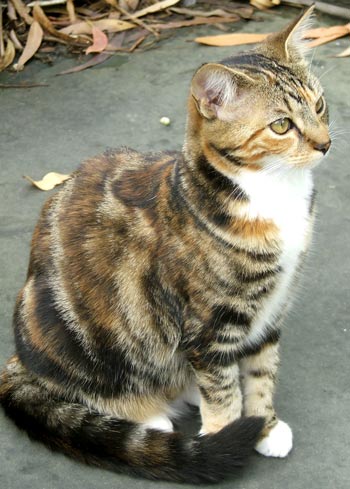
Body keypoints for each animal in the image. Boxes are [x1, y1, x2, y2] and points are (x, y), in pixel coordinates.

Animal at [0, 4, 330, 484]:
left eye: (320, 105)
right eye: (281, 125)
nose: (325, 144)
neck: (271, 194)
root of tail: (19, 360)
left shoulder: (270, 310)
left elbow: (261, 374)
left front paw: (264, 426)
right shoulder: (209, 325)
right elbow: (224, 394)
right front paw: (226, 438)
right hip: (66, 332)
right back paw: (150, 416)